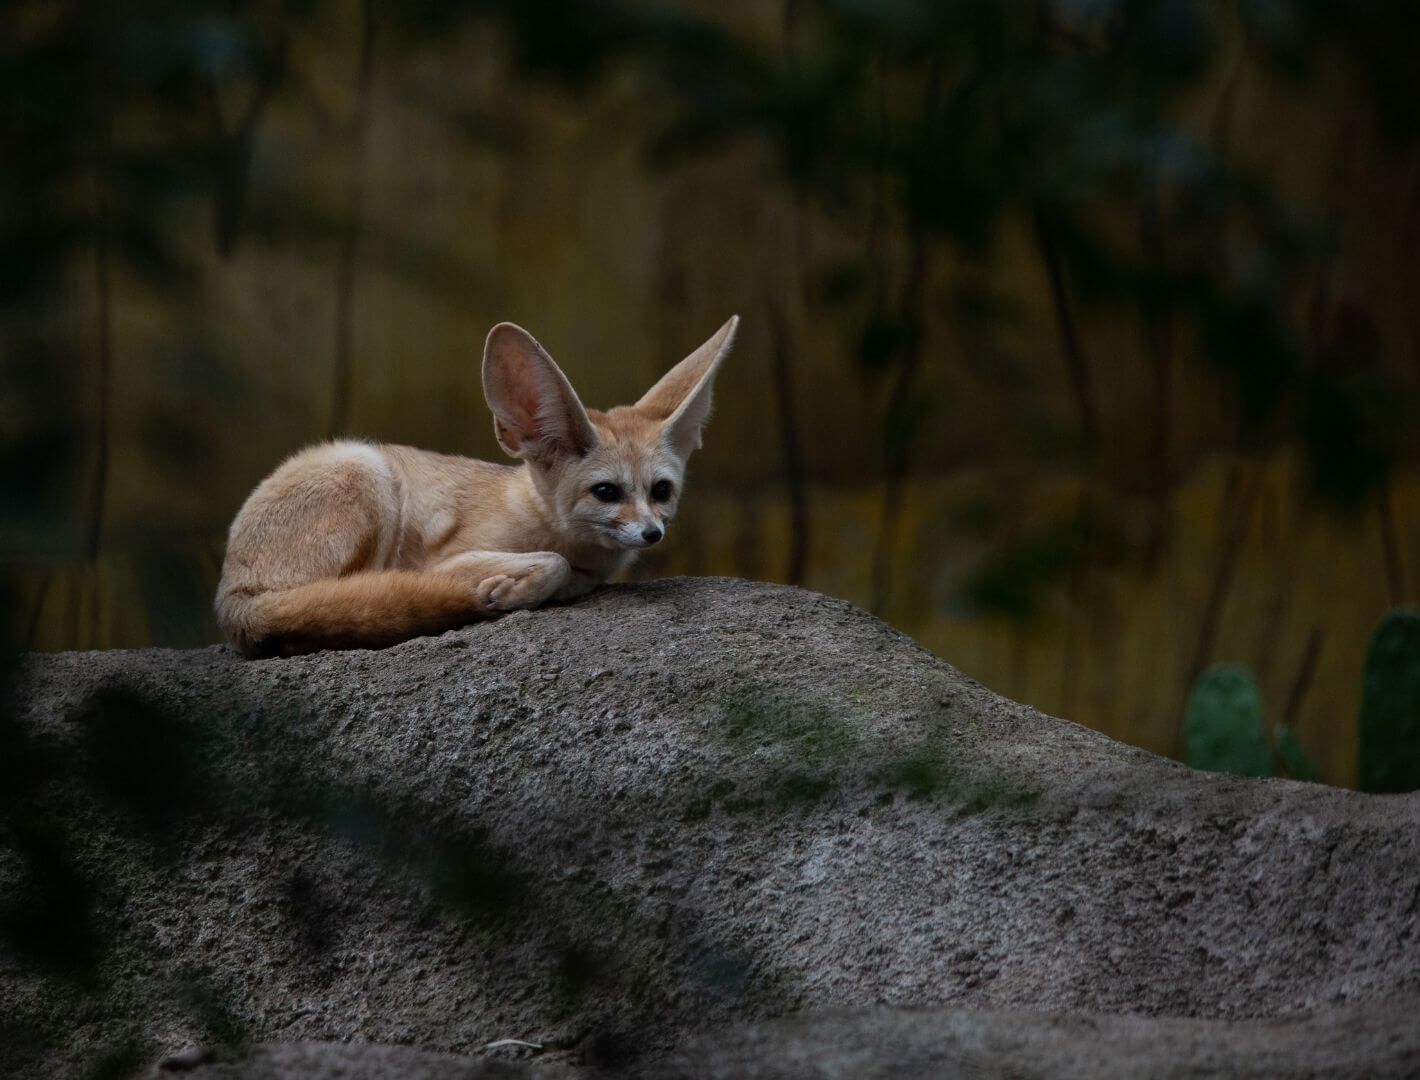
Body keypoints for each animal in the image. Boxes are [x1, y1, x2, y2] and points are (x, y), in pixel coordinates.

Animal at [215, 316, 738, 658]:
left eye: (661, 491)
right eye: (607, 492)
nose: (653, 534)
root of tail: (231, 595)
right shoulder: (446, 561)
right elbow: (551, 562)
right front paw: (512, 591)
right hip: (368, 474)